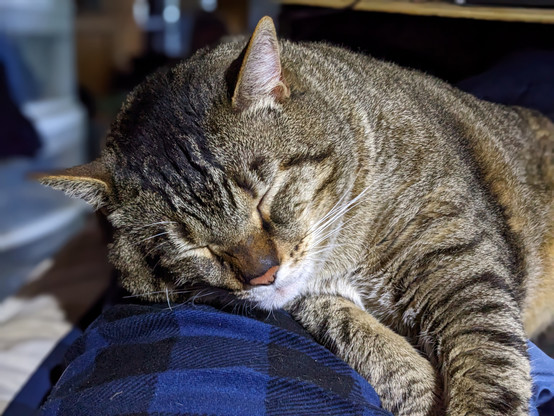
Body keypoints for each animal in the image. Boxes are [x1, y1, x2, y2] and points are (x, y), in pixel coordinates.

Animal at [38, 16, 552, 416]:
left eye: (265, 195)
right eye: (192, 243)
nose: (262, 275)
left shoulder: (461, 266)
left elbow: (489, 363)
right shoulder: (314, 299)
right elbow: (367, 343)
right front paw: (418, 386)